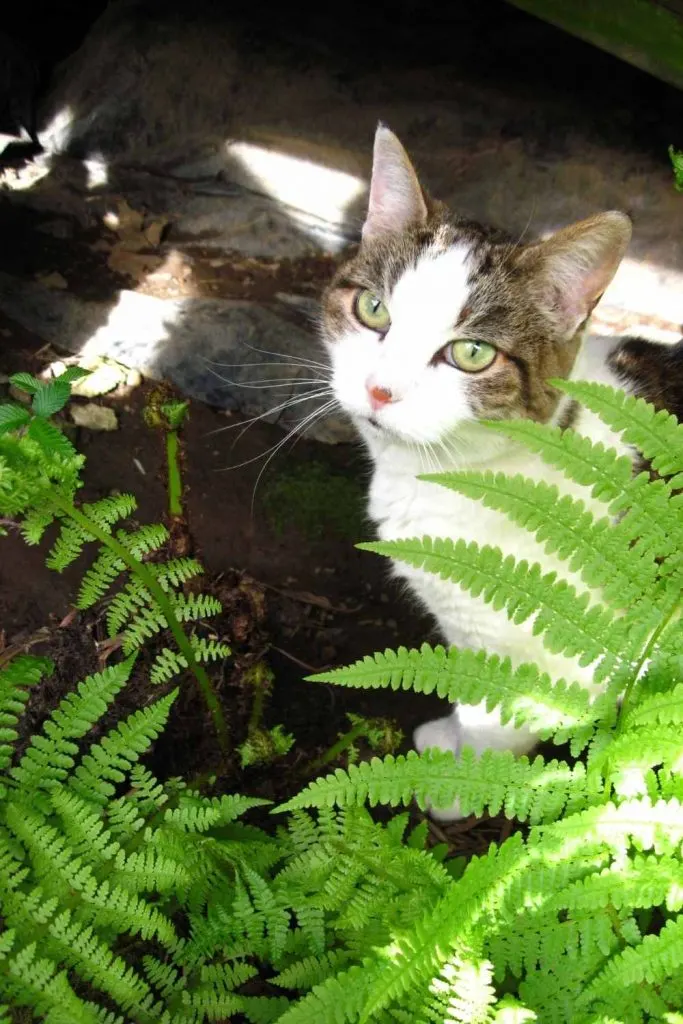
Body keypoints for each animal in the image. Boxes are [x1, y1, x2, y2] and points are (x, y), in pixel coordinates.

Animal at [321, 121, 683, 823]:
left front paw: (461, 786)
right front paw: (449, 743)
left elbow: (496, 719)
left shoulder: (557, 660)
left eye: (471, 353)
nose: (380, 390)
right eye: (374, 310)